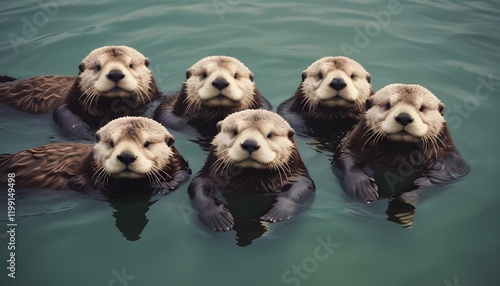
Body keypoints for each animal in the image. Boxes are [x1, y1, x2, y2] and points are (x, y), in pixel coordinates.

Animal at [186, 109, 314, 232]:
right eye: (235, 132)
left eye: (270, 135)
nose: (250, 144)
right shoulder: (211, 173)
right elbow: (198, 186)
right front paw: (218, 218)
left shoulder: (297, 174)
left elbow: (301, 188)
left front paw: (276, 214)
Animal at [334, 82, 470, 203]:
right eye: (388, 105)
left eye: (422, 108)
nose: (404, 117)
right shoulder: (355, 141)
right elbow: (345, 156)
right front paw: (363, 187)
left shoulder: (447, 152)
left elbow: (454, 169)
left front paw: (413, 189)